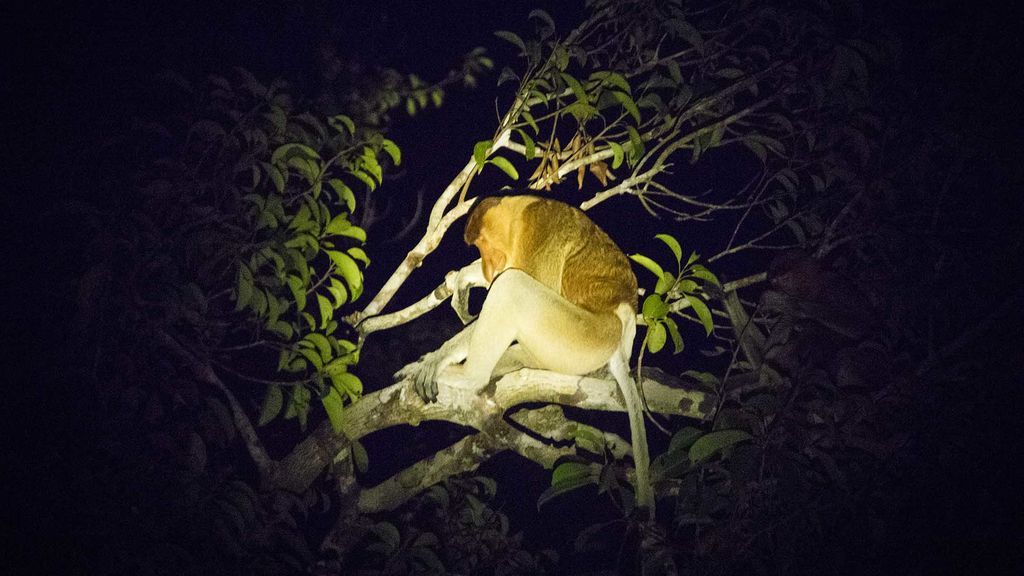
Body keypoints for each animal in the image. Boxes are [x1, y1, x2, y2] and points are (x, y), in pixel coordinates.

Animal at [395, 193, 651, 516]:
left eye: (483, 242)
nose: (488, 265)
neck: (520, 214)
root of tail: (621, 332)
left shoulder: (540, 227)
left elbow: (518, 279)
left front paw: (436, 358)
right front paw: (463, 279)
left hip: (581, 334)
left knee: (512, 287)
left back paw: (468, 375)